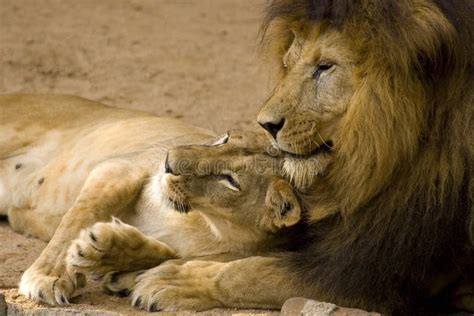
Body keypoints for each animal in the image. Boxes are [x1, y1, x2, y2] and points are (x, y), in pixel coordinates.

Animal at [0, 94, 304, 306]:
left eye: (230, 180)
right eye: (224, 140)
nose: (168, 161)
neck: (208, 226)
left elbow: (168, 255)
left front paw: (110, 255)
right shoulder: (122, 167)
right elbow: (79, 216)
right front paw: (48, 276)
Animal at [102, 0, 472, 314]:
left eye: (325, 67)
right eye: (288, 63)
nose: (266, 124)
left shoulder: (382, 271)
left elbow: (254, 272)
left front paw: (174, 279)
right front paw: (131, 267)